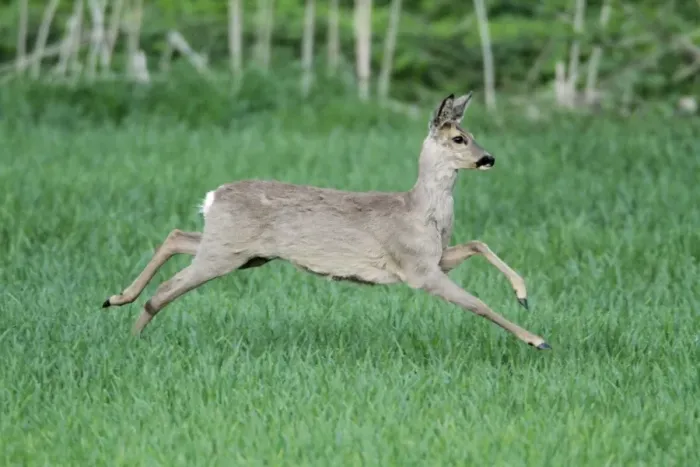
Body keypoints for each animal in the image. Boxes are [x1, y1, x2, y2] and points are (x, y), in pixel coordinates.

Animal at [102, 92, 551, 350]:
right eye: (459, 138)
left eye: (472, 134)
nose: (488, 158)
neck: (419, 210)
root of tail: (214, 196)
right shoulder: (418, 269)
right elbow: (477, 304)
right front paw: (537, 339)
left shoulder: (434, 258)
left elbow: (478, 244)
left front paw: (523, 294)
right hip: (226, 252)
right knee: (167, 288)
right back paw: (131, 335)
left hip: (242, 251)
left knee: (178, 236)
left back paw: (117, 302)